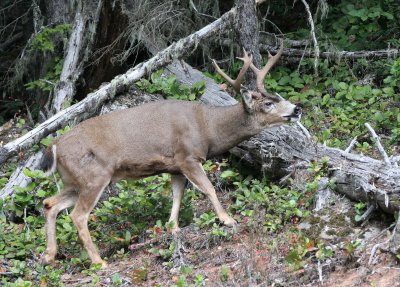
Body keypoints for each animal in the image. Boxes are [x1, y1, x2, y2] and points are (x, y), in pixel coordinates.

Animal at [38, 42, 300, 268]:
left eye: (278, 97)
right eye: (267, 104)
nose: (297, 109)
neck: (207, 128)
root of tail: (54, 146)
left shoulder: (175, 167)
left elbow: (177, 194)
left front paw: (172, 226)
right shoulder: (188, 156)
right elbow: (208, 188)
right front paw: (227, 219)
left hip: (74, 181)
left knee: (50, 203)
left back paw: (49, 256)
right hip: (95, 176)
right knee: (78, 215)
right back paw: (98, 261)